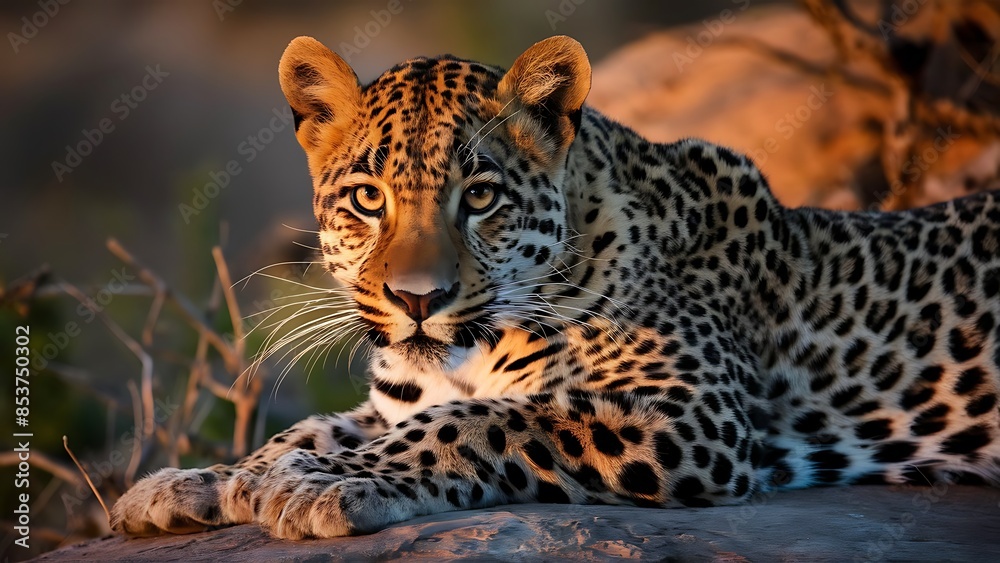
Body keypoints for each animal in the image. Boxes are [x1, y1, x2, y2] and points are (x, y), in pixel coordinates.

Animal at [110, 35, 1000, 539]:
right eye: (367, 198)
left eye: (480, 196)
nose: (418, 300)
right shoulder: (392, 401)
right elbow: (313, 428)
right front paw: (204, 481)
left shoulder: (690, 411)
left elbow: (484, 420)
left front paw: (324, 485)